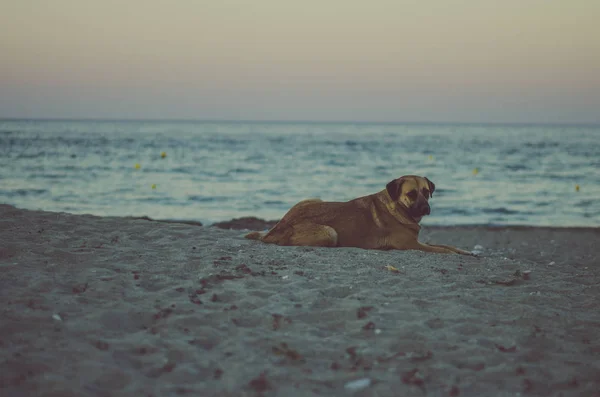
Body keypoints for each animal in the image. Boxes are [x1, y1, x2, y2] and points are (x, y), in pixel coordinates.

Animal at [244, 175, 474, 255]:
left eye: (426, 192)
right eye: (411, 194)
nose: (426, 208)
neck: (398, 207)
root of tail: (278, 227)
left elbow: (446, 245)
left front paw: (465, 251)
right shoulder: (411, 245)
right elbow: (441, 249)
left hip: (313, 199)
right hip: (329, 233)